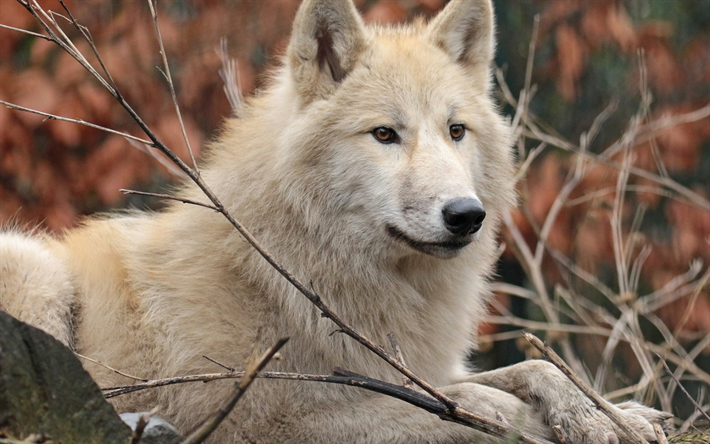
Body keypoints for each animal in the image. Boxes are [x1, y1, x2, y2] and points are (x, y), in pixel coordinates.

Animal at [0, 0, 672, 442]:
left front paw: (613, 416)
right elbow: (471, 408)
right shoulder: (281, 414)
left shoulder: (417, 367)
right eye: (385, 134)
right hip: (36, 272)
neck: (293, 268)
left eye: (456, 131)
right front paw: (540, 418)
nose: (466, 215)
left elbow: (534, 368)